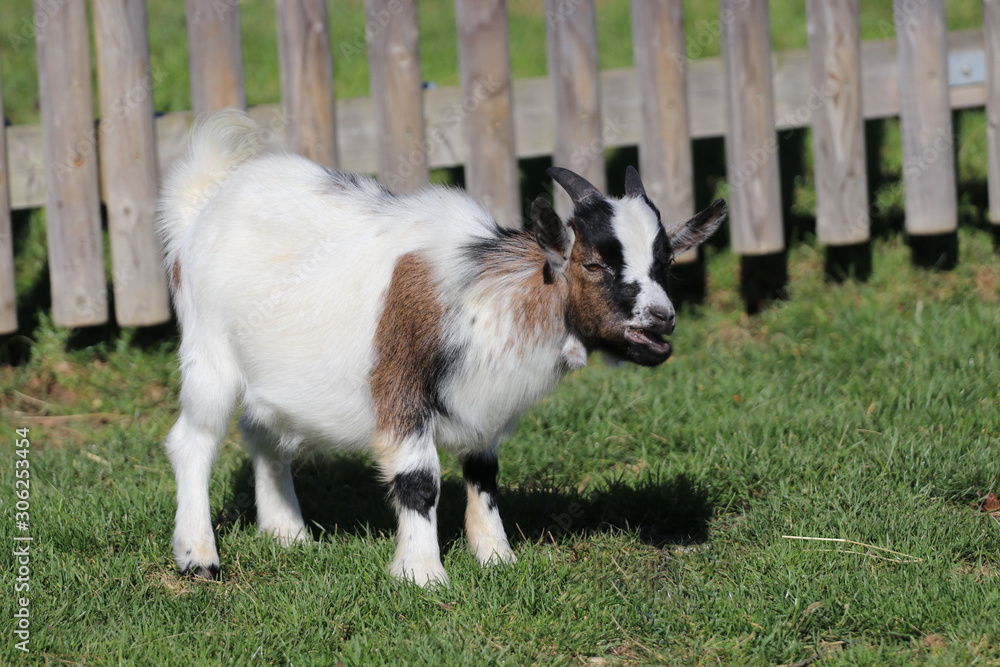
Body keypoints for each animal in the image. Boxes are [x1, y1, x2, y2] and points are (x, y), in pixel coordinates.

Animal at [158, 108, 728, 584]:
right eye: (593, 263)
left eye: (666, 262)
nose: (662, 320)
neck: (488, 296)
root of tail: (204, 202)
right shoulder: (401, 389)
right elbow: (419, 480)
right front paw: (423, 575)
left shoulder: (483, 402)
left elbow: (484, 476)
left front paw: (497, 557)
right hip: (209, 352)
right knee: (193, 440)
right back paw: (199, 556)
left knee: (262, 432)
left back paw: (289, 535)